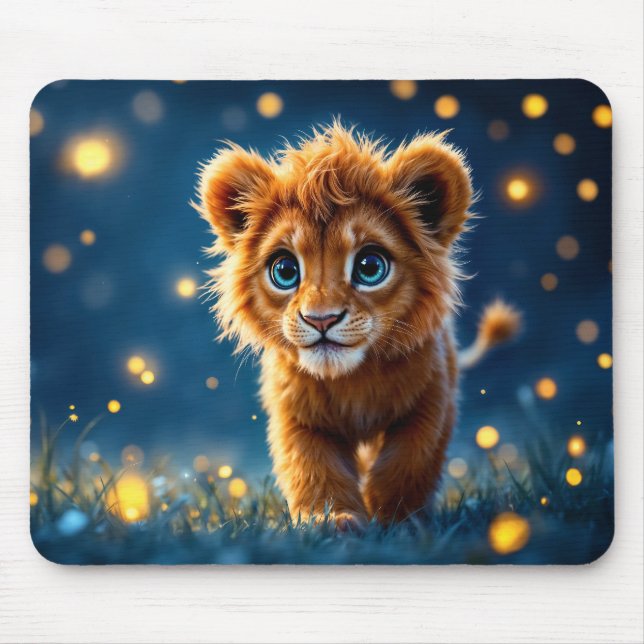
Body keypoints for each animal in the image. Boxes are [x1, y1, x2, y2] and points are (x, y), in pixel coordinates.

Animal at [195, 122, 519, 529]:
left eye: (370, 266)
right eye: (284, 270)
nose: (322, 319)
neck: (352, 380)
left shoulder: (430, 403)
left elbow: (408, 462)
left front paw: (396, 520)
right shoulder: (297, 417)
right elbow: (312, 466)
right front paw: (333, 520)